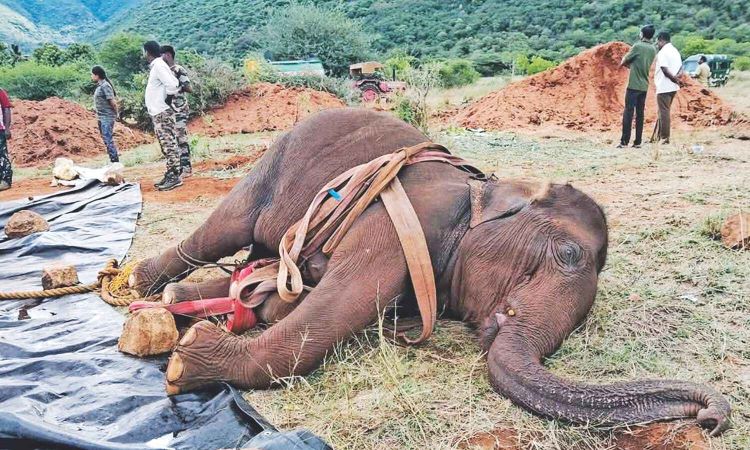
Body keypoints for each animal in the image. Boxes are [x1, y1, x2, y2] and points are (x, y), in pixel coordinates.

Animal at [130, 108, 730, 436]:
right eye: (567, 255)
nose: (711, 419)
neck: (484, 189)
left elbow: (305, 297)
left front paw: (228, 324)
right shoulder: (402, 221)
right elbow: (340, 302)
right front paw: (188, 361)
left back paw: (180, 298)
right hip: (273, 165)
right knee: (220, 231)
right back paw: (143, 285)